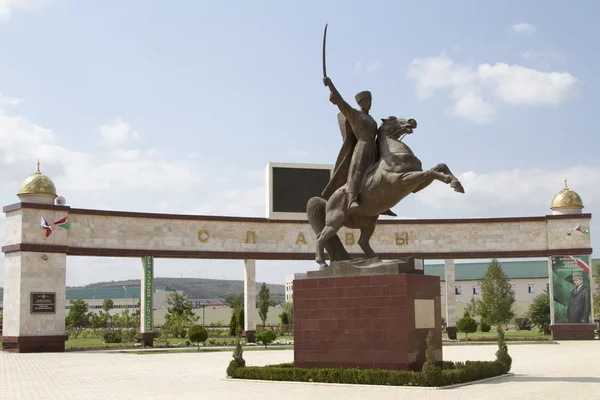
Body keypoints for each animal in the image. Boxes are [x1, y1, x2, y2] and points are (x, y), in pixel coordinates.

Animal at [308, 115, 466, 268]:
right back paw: (323, 263)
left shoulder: (417, 185)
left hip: (369, 222)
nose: (412, 121)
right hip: (335, 222)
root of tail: (327, 201)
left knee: (362, 241)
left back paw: (377, 261)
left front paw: (458, 185)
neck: (395, 154)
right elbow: (430, 172)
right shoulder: (404, 179)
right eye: (391, 118)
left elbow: (439, 166)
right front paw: (450, 181)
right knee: (320, 238)